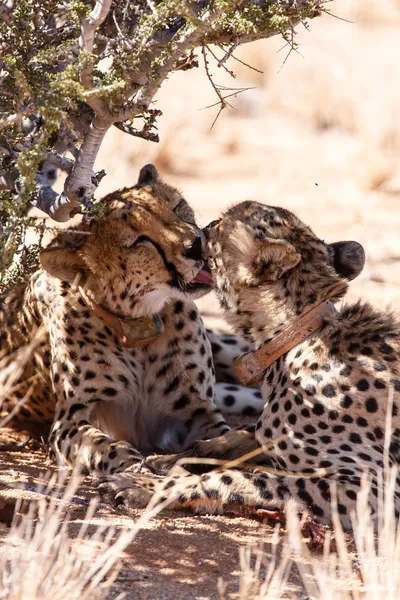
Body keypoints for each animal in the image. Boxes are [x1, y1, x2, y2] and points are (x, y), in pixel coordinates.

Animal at [0, 165, 260, 482]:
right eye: (140, 241)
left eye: (176, 208)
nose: (195, 245)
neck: (140, 325)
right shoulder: (69, 422)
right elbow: (108, 447)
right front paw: (140, 472)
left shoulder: (198, 410)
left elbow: (221, 434)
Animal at [102, 199, 400, 528]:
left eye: (219, 227)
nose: (199, 233)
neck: (293, 335)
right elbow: (247, 434)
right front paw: (175, 458)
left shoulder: (375, 490)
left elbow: (240, 478)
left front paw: (146, 485)